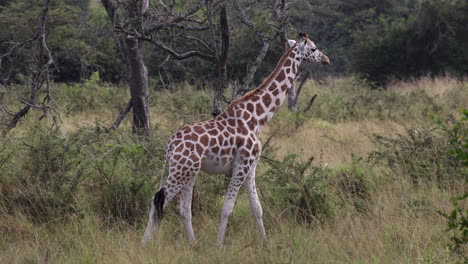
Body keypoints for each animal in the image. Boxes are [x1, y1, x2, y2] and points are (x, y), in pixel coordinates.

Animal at [143, 33, 330, 248]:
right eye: (314, 48)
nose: (326, 59)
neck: (258, 118)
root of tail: (172, 142)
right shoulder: (242, 163)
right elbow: (227, 207)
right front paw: (218, 245)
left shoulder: (252, 165)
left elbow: (256, 207)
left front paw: (265, 242)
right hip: (181, 168)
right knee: (158, 198)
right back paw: (144, 244)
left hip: (189, 170)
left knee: (183, 208)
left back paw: (193, 244)